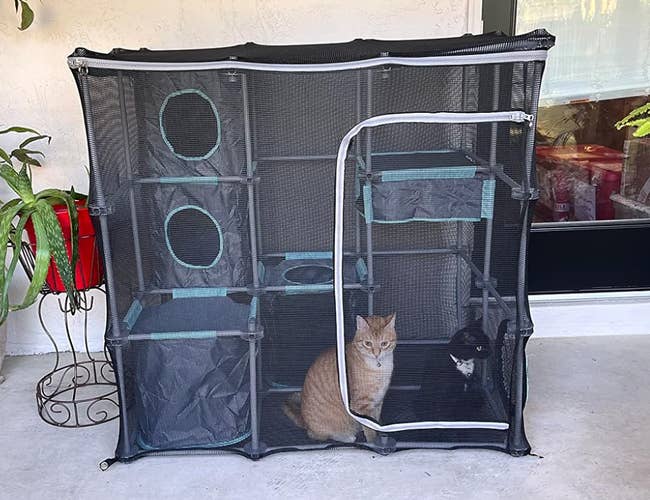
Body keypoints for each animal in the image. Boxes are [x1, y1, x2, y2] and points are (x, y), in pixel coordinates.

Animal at [280, 314, 394, 444]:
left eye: (384, 343)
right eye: (368, 343)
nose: (376, 354)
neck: (379, 368)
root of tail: (304, 420)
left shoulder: (378, 401)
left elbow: (375, 421)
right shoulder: (361, 405)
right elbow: (369, 429)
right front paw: (373, 442)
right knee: (318, 435)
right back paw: (347, 437)